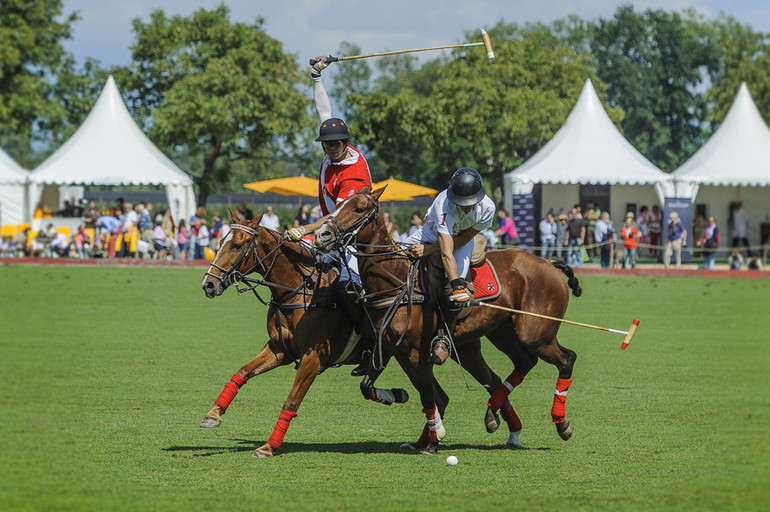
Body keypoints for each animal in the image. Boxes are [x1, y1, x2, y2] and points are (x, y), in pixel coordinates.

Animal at [200, 212, 414, 456]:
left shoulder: (312, 358)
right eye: (220, 242)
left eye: (236, 245)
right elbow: (243, 372)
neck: (296, 292)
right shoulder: (280, 349)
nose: (208, 284)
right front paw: (213, 414)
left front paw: (268, 447)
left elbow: (291, 401)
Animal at [316, 187, 580, 452]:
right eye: (338, 205)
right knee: (522, 363)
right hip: (501, 333)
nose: (321, 234)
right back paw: (497, 420)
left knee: (566, 359)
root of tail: (548, 262)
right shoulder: (392, 349)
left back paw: (561, 424)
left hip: (535, 334)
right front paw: (408, 410)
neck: (396, 280)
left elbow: (428, 396)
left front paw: (434, 438)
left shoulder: (416, 353)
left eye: (359, 208)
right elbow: (371, 387)